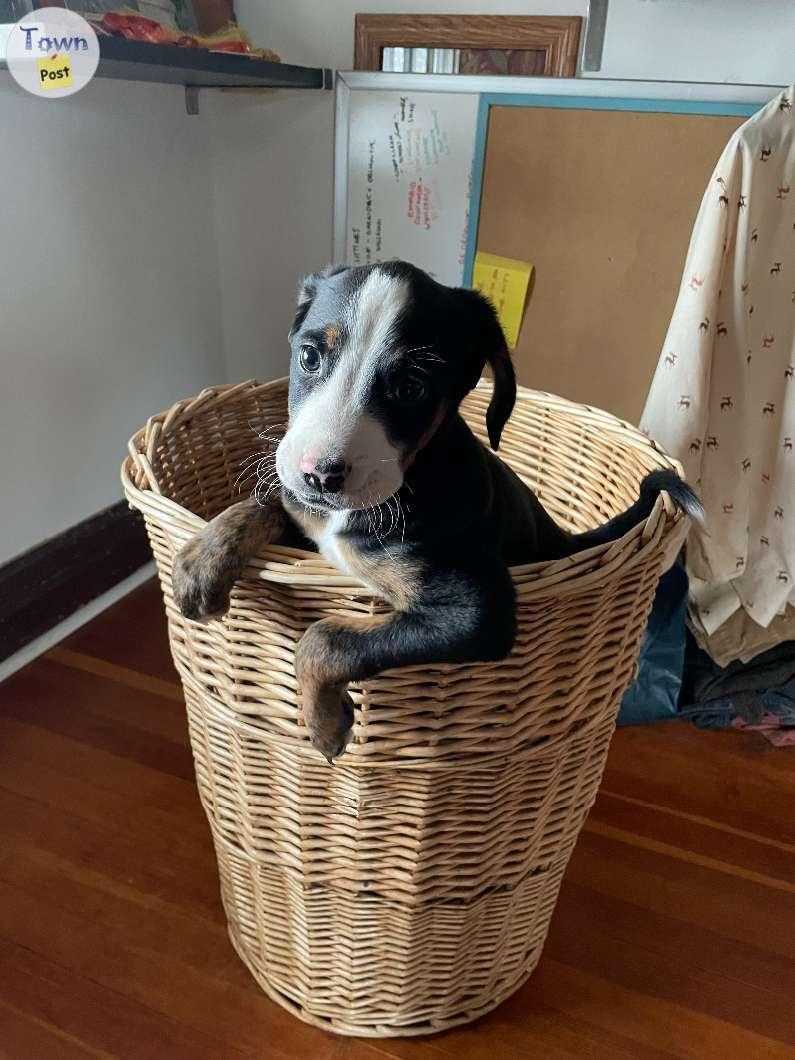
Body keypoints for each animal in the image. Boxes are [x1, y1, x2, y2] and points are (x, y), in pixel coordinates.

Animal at [171, 263, 699, 763]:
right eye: (309, 357)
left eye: (411, 388)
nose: (320, 476)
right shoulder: (308, 526)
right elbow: (268, 504)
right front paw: (199, 562)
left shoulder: (475, 612)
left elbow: (325, 638)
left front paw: (324, 724)